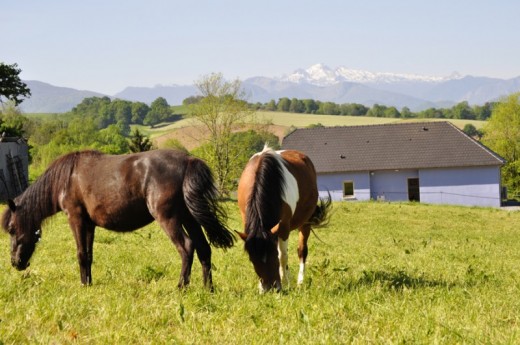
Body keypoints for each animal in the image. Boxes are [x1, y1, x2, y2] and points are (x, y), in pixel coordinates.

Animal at [2, 149, 234, 288]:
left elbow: (80, 254)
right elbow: (88, 255)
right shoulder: (89, 224)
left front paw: (83, 285)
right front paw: (89, 284)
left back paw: (180, 288)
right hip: (189, 217)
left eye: (12, 229)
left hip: (169, 218)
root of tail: (188, 160)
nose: (16, 263)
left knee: (187, 247)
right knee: (203, 248)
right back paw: (208, 289)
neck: (66, 179)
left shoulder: (76, 219)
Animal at [236, 146, 330, 292]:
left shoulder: (284, 226)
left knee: (301, 250)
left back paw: (299, 280)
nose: (269, 288)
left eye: (272, 255)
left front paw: (285, 282)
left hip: (305, 223)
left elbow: (282, 256)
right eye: (252, 259)